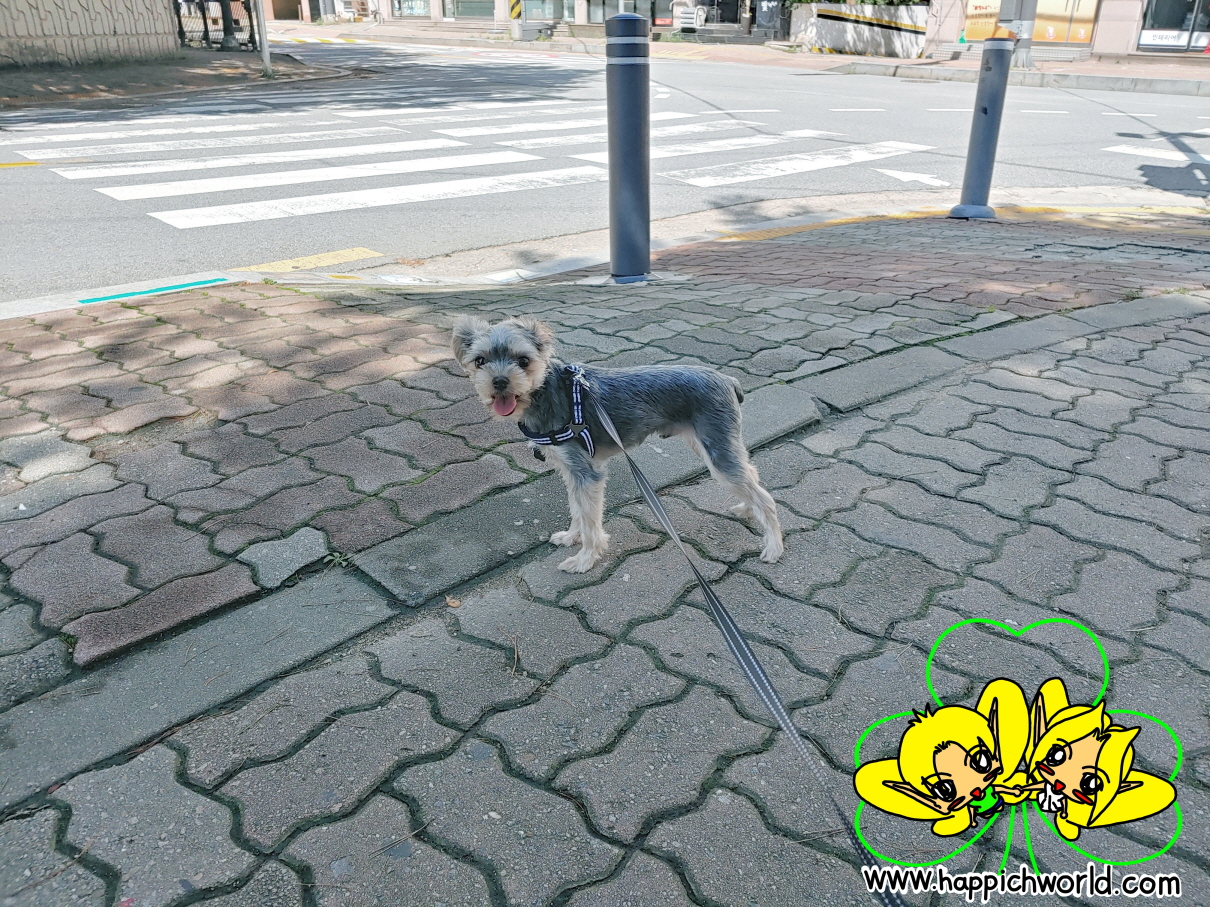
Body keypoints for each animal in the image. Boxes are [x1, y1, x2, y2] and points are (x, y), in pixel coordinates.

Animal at [451, 315, 784, 573]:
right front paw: (571, 537)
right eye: (480, 360)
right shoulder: (572, 470)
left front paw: (584, 559)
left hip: (717, 451)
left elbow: (590, 520)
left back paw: (773, 547)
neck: (545, 393)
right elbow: (577, 509)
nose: (499, 382)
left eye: (523, 361)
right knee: (751, 476)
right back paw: (747, 508)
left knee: (765, 497)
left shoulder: (587, 473)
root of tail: (728, 380)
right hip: (713, 445)